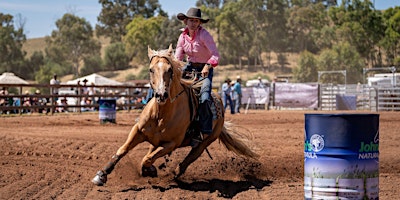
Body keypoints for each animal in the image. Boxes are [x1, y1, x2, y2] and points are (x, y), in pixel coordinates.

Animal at [91, 44, 260, 186]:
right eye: (151, 69)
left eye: (170, 70)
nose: (161, 95)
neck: (161, 114)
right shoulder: (138, 130)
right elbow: (123, 150)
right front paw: (101, 175)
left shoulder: (171, 143)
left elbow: (147, 159)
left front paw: (149, 170)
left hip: (204, 142)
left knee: (187, 161)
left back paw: (174, 174)